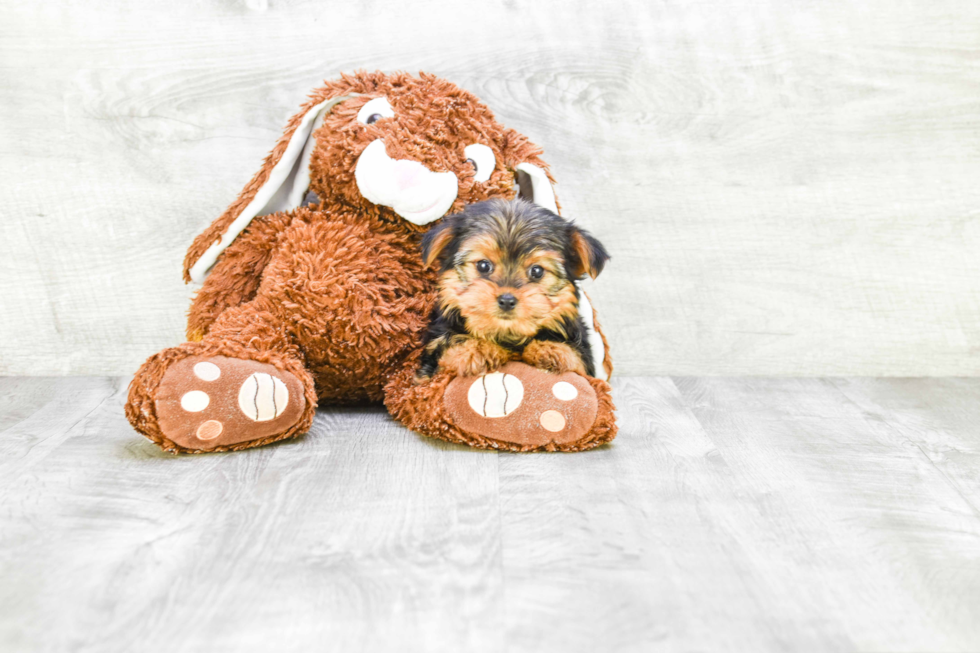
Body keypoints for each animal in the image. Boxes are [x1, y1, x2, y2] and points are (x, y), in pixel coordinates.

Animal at [418, 200, 608, 382]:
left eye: (537, 271)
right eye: (483, 265)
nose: (507, 300)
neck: (508, 336)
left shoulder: (584, 358)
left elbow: (576, 357)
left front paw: (552, 349)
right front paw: (475, 349)